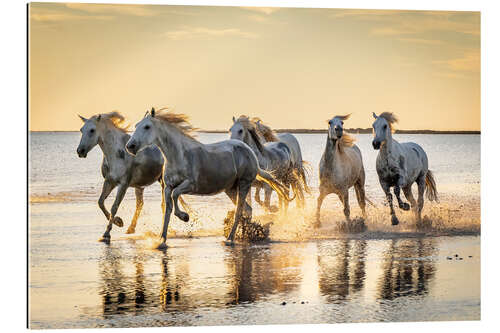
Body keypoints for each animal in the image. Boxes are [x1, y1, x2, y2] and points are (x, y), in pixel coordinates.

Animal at [76, 112, 176, 241]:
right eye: (81, 130)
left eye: (92, 130)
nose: (80, 151)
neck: (116, 154)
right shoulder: (109, 182)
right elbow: (100, 202)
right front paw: (119, 222)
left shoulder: (123, 184)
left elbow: (114, 206)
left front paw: (107, 232)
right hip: (140, 186)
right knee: (140, 204)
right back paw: (131, 228)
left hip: (163, 183)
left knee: (163, 205)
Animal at [124, 107, 292, 248]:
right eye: (136, 125)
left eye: (147, 127)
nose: (130, 146)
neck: (178, 155)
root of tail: (250, 152)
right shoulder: (167, 186)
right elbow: (168, 209)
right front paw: (162, 241)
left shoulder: (190, 185)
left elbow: (176, 195)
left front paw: (185, 216)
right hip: (230, 189)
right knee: (247, 209)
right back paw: (244, 234)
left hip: (244, 184)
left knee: (239, 211)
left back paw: (230, 239)